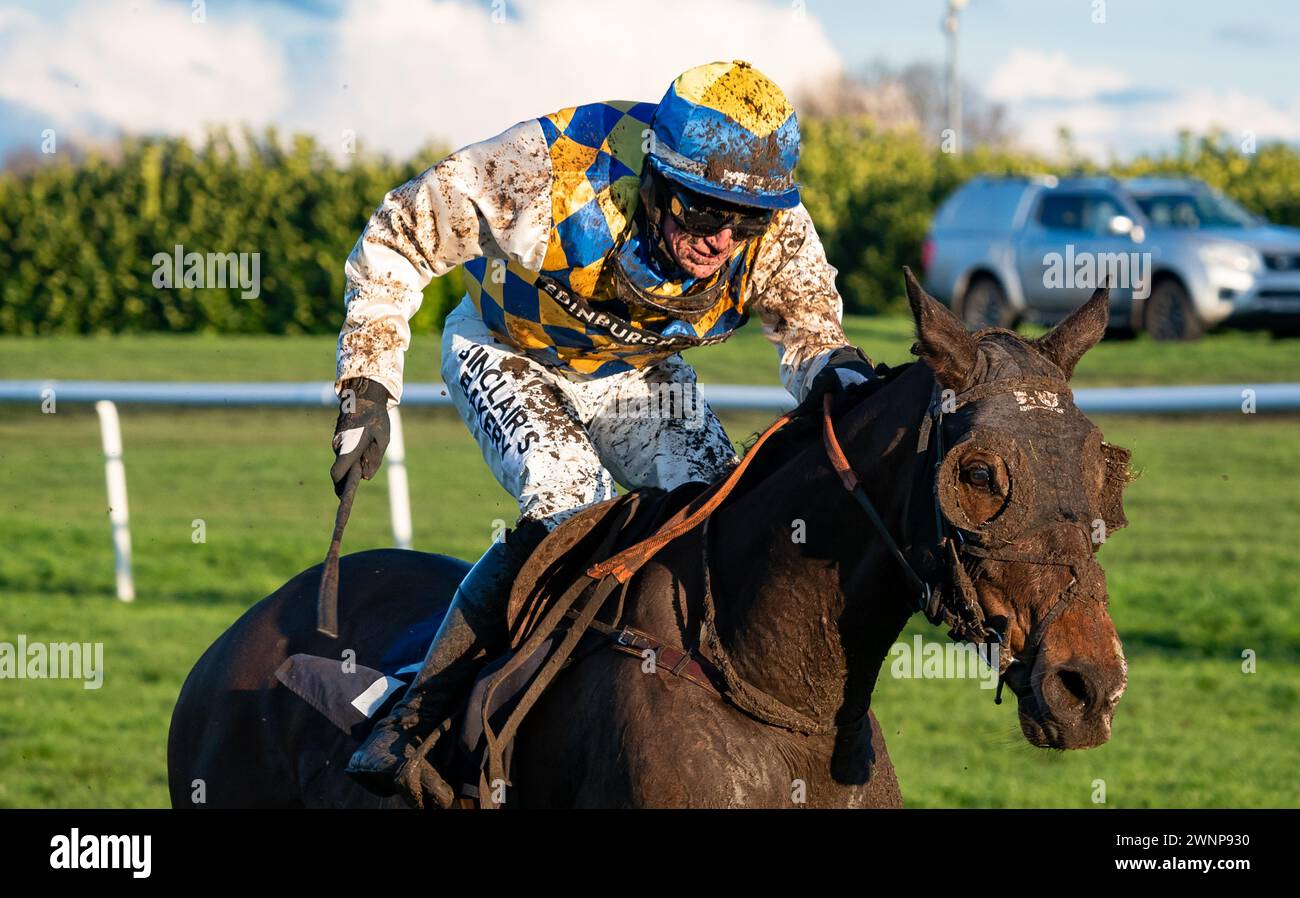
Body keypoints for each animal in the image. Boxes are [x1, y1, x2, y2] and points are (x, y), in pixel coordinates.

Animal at [170, 274, 1128, 805]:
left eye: (1102, 464)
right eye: (980, 475)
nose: (1089, 685)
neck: (777, 698)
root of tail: (231, 642)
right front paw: (360, 420)